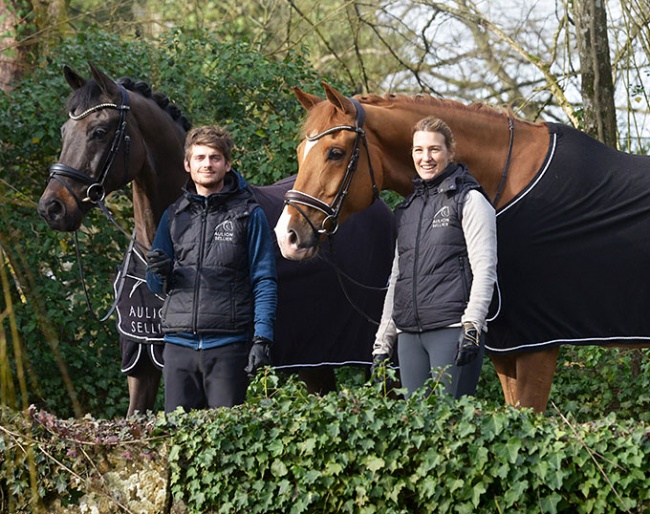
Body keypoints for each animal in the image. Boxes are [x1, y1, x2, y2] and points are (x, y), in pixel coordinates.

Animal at [274, 83, 648, 412]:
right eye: (300, 153)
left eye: (335, 153)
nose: (286, 236)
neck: (505, 183)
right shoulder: (506, 345)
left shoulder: (536, 346)